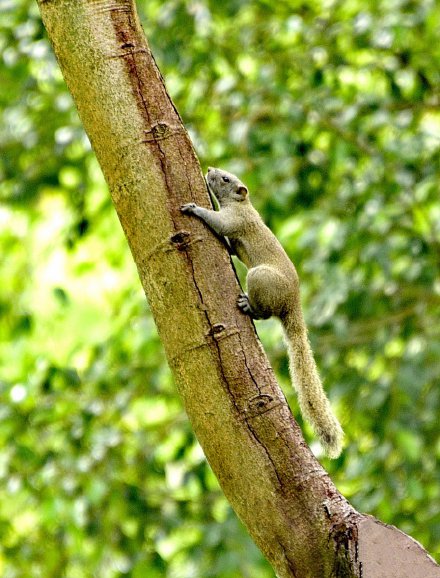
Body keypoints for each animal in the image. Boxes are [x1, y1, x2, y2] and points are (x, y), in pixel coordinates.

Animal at [181, 168, 344, 460]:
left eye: (226, 179)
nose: (209, 170)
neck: (244, 204)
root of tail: (293, 305)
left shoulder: (235, 221)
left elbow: (217, 223)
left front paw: (194, 208)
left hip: (258, 277)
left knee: (265, 313)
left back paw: (248, 306)